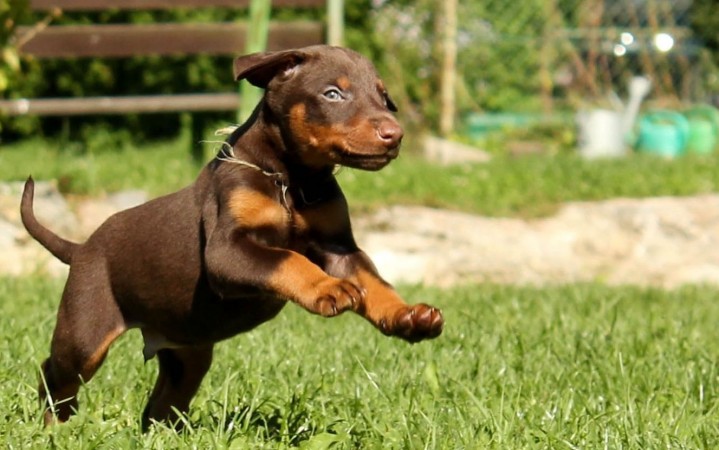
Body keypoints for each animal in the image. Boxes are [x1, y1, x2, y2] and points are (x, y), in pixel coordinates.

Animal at [21, 44, 444, 428]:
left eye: (383, 97)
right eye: (332, 94)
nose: (395, 134)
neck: (291, 180)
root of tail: (80, 249)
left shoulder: (337, 246)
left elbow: (373, 281)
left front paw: (408, 316)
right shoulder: (226, 250)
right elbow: (289, 258)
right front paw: (330, 288)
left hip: (187, 351)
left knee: (161, 402)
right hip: (85, 333)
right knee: (54, 373)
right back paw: (55, 423)